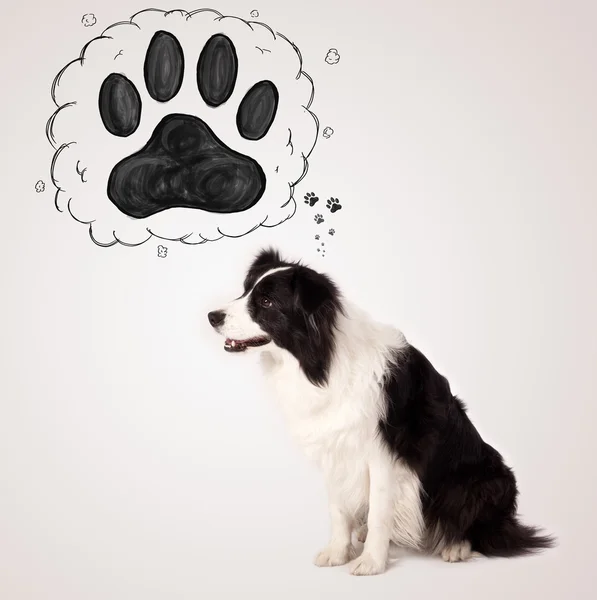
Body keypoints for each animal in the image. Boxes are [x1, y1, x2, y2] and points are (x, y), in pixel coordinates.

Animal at [207, 246, 552, 576]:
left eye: (266, 302)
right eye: (245, 291)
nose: (212, 316)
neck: (322, 362)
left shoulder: (384, 454)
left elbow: (379, 512)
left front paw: (372, 562)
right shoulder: (334, 444)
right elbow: (338, 508)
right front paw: (338, 552)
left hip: (481, 480)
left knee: (477, 526)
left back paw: (456, 546)